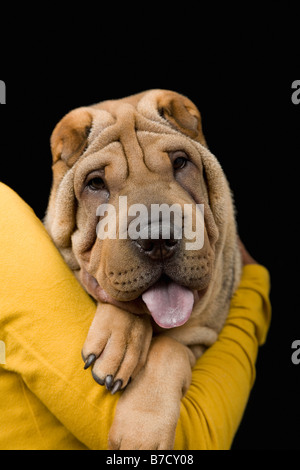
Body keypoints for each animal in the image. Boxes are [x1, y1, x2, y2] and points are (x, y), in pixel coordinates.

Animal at [44, 88, 241, 448]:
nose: (158, 238)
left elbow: (171, 350)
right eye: (95, 183)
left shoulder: (206, 335)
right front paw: (119, 341)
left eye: (180, 163)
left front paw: (142, 432)